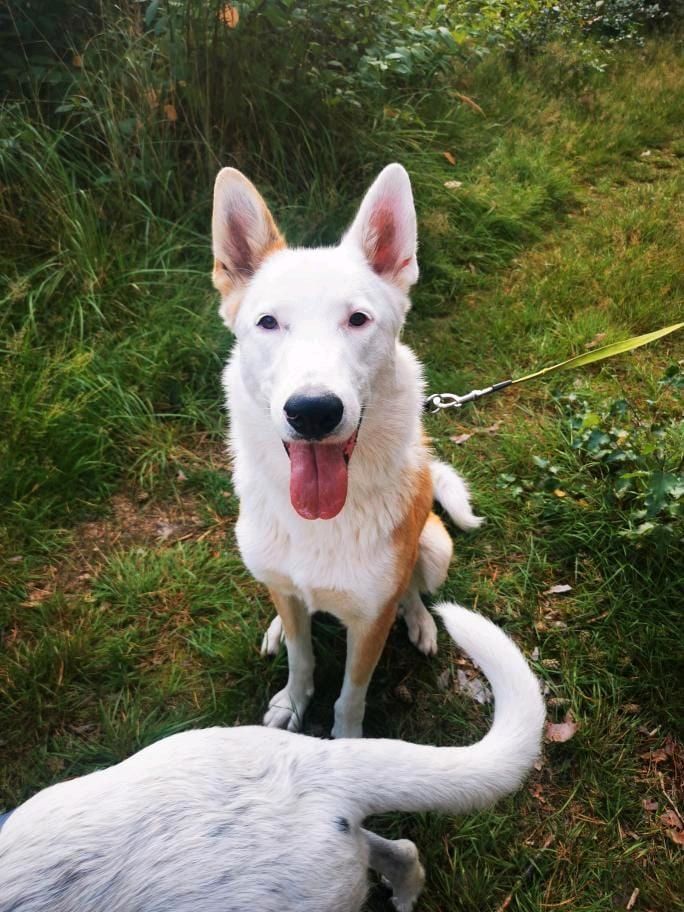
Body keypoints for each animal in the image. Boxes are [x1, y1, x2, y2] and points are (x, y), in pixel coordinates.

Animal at [216, 160, 484, 736]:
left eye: (358, 319)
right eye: (268, 322)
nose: (313, 411)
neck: (321, 522)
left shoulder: (368, 624)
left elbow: (350, 696)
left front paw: (345, 740)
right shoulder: (292, 598)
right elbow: (302, 656)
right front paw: (292, 702)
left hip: (435, 549)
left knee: (412, 588)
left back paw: (421, 620)